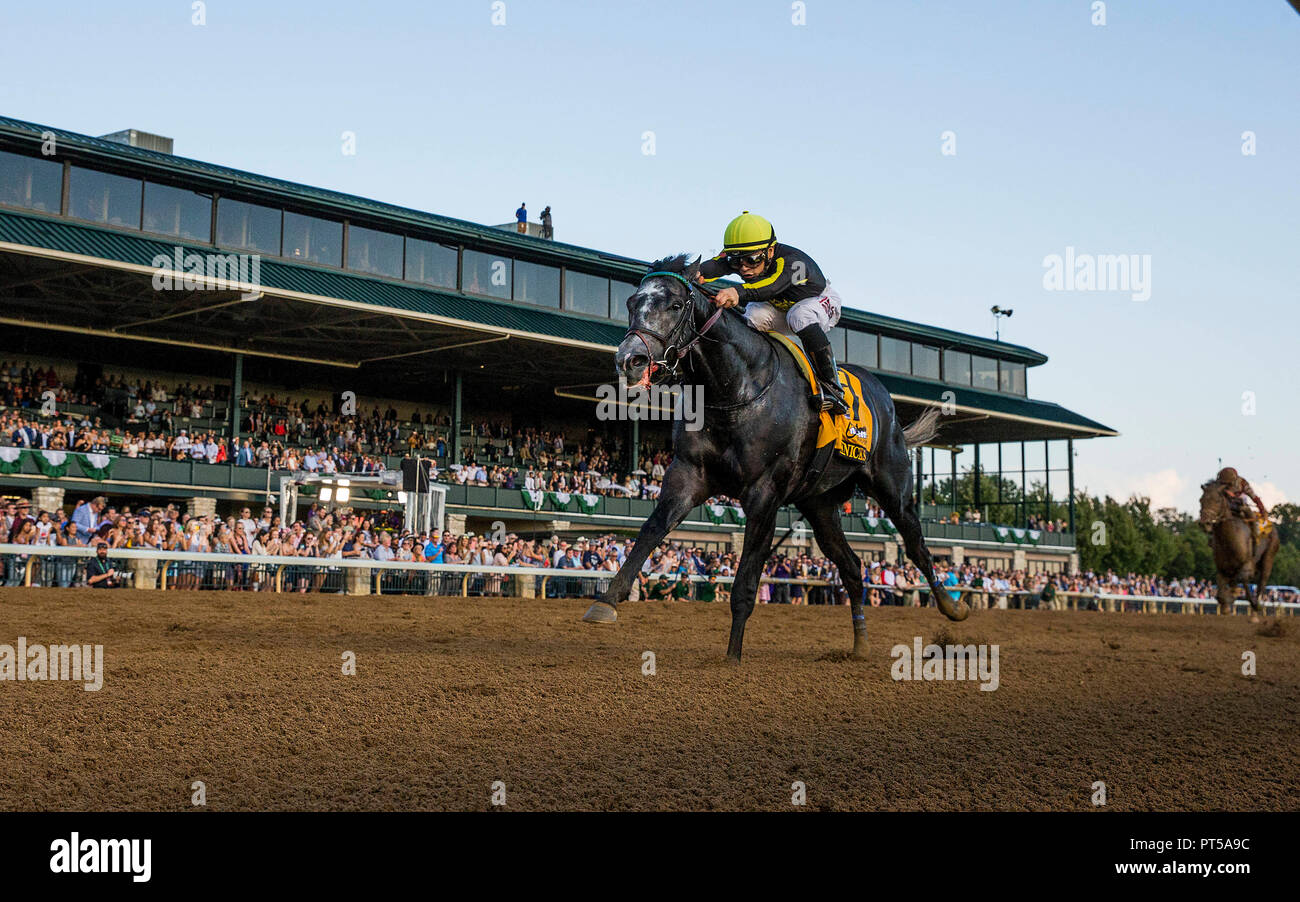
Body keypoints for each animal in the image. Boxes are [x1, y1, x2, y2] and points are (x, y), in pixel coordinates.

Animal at [579, 254, 967, 665]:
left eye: (675, 305)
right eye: (631, 303)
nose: (630, 360)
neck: (736, 390)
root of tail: (884, 398)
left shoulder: (765, 494)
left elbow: (746, 581)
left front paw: (733, 658)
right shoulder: (686, 475)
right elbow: (650, 531)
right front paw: (606, 601)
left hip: (892, 487)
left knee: (916, 546)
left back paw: (952, 607)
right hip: (819, 504)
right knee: (851, 565)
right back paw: (860, 645)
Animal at [1196, 480, 1279, 621]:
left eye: (1217, 500)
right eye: (1201, 500)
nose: (1204, 523)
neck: (1229, 540)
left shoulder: (1246, 565)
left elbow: (1241, 581)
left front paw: (1235, 596)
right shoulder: (1222, 569)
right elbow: (1221, 594)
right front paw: (1226, 606)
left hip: (1268, 559)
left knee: (1261, 583)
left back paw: (1255, 610)